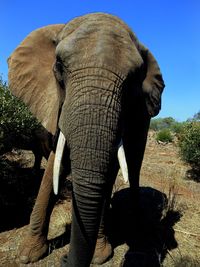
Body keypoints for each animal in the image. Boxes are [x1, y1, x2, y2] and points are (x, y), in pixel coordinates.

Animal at [7, 12, 164, 267]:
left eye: (133, 79)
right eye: (59, 65)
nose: (64, 259)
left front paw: (100, 256)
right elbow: (56, 165)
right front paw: (27, 255)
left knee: (132, 168)